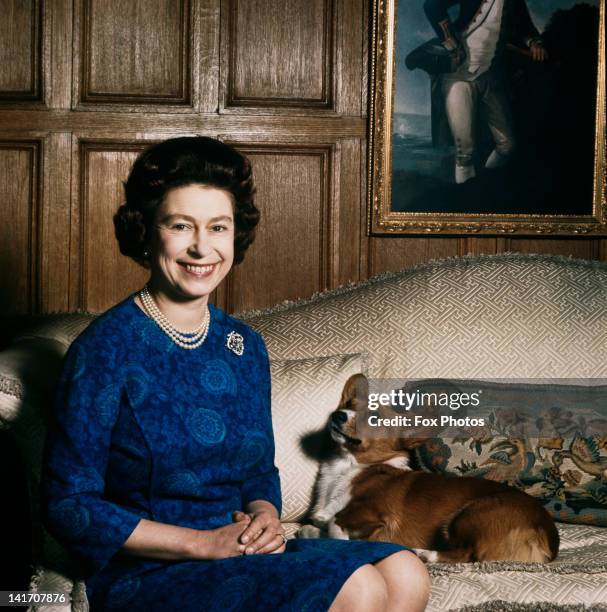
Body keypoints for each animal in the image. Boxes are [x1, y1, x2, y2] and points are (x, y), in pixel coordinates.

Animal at [300, 372, 560, 564]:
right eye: (348, 404)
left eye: (374, 417)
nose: (338, 415)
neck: (346, 468)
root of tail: (547, 537)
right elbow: (314, 527)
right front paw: (315, 532)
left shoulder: (376, 514)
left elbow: (335, 523)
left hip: (468, 513)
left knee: (467, 554)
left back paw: (424, 553)